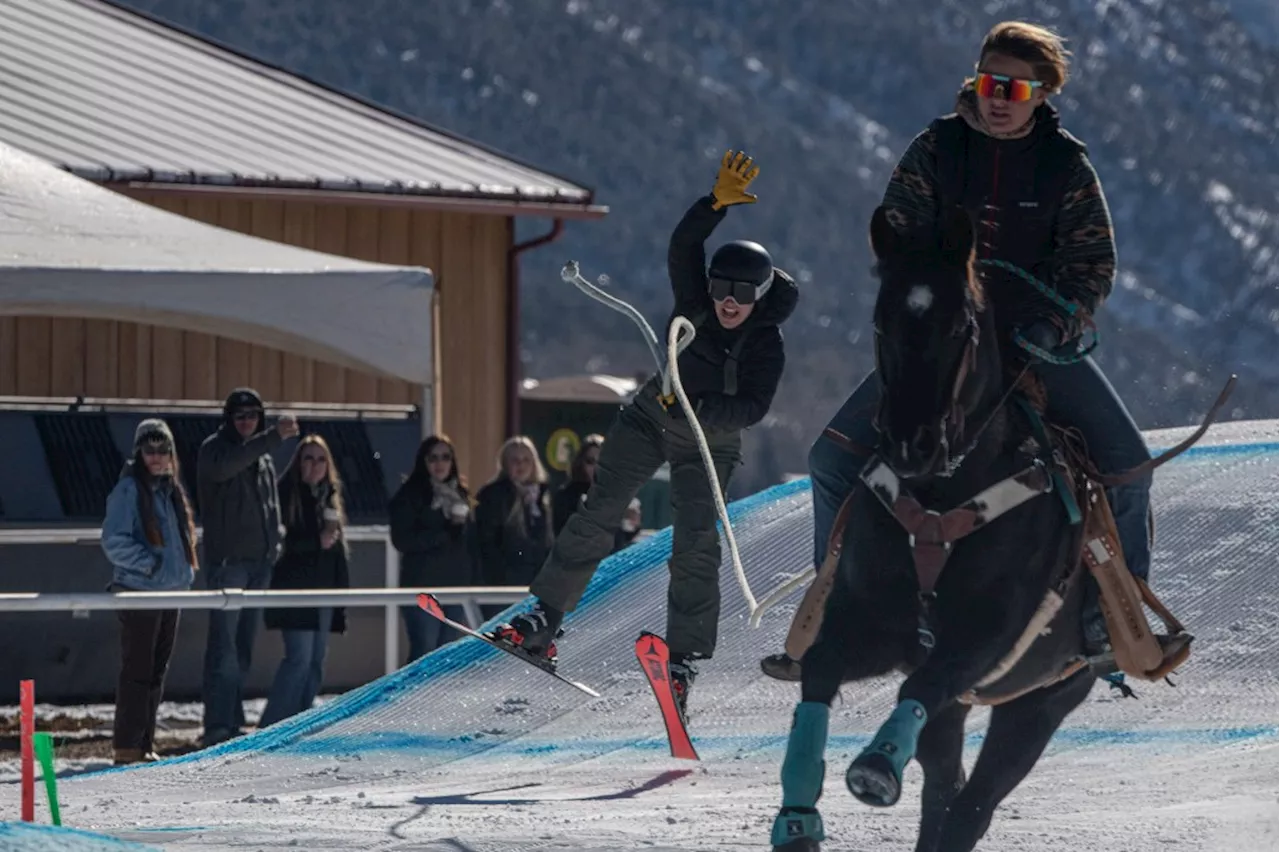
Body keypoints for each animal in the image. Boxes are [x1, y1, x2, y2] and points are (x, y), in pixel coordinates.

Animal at [768, 205, 1111, 849]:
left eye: (962, 327)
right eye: (881, 321)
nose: (911, 442)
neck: (940, 500)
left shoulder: (983, 636)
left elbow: (919, 687)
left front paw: (877, 765)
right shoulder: (875, 626)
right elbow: (823, 667)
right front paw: (798, 814)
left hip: (1044, 701)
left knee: (972, 805)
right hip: (962, 708)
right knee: (943, 789)